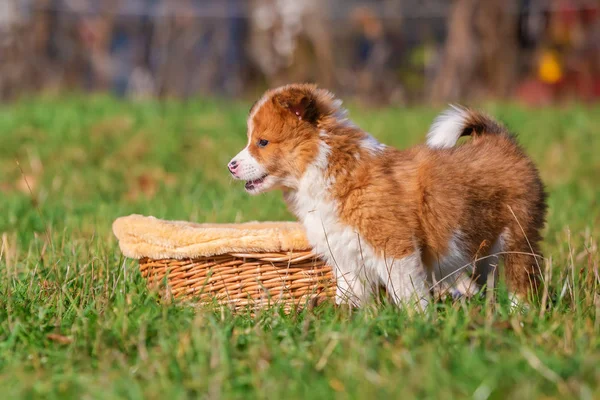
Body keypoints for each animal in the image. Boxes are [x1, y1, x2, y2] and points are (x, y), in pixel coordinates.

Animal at [227, 83, 548, 310]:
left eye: (262, 142)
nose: (230, 165)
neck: (330, 167)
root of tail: (500, 141)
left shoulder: (395, 249)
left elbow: (408, 294)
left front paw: (418, 324)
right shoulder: (345, 257)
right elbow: (351, 296)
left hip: (517, 236)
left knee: (522, 279)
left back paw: (521, 314)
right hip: (482, 247)